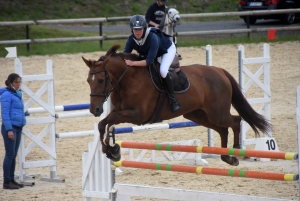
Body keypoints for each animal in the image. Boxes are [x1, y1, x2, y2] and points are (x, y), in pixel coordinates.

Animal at [82, 44, 272, 166]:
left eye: (100, 80)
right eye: (88, 81)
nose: (95, 109)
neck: (128, 79)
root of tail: (220, 71)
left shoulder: (137, 115)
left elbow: (109, 121)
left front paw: (112, 149)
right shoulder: (119, 110)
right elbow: (104, 124)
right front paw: (111, 150)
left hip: (217, 113)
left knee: (235, 120)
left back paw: (236, 150)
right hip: (198, 115)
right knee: (223, 129)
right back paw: (227, 157)